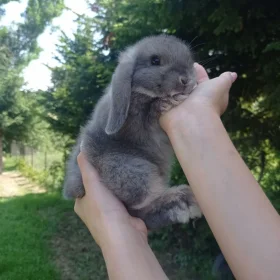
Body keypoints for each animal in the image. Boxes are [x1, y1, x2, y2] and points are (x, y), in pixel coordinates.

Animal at [64, 34, 202, 230]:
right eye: (155, 60)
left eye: (190, 60)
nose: (186, 80)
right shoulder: (135, 125)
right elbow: (147, 117)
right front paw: (167, 102)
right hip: (133, 173)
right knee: (141, 206)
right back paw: (181, 201)